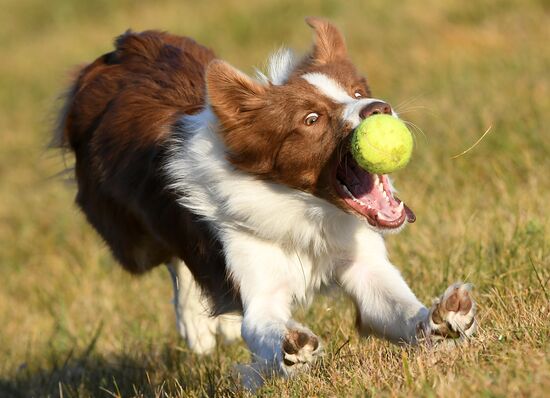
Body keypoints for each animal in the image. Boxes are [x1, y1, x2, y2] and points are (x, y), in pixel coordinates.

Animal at [57, 17, 478, 386]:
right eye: (311, 119)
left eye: (357, 92)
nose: (379, 108)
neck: (306, 209)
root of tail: (121, 48)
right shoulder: (259, 288)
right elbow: (264, 326)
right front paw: (290, 350)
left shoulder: (363, 265)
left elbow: (398, 308)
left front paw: (444, 318)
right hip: (131, 244)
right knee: (174, 262)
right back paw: (197, 325)